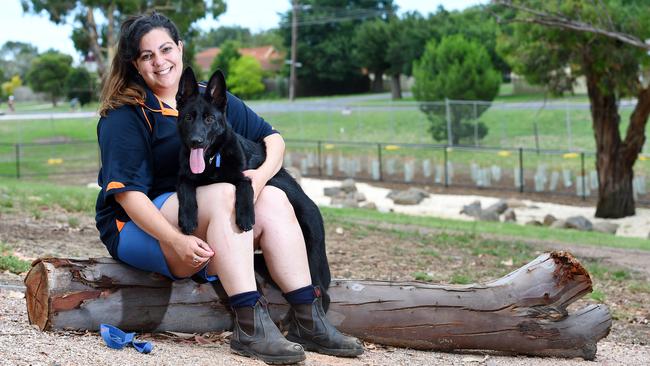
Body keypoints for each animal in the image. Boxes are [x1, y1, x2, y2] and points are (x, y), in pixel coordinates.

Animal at [176, 66, 332, 306]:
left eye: (210, 119)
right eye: (188, 117)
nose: (196, 141)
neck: (212, 161)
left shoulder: (245, 177)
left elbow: (245, 186)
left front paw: (245, 216)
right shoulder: (185, 176)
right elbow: (185, 187)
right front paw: (187, 218)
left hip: (310, 260)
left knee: (321, 293)